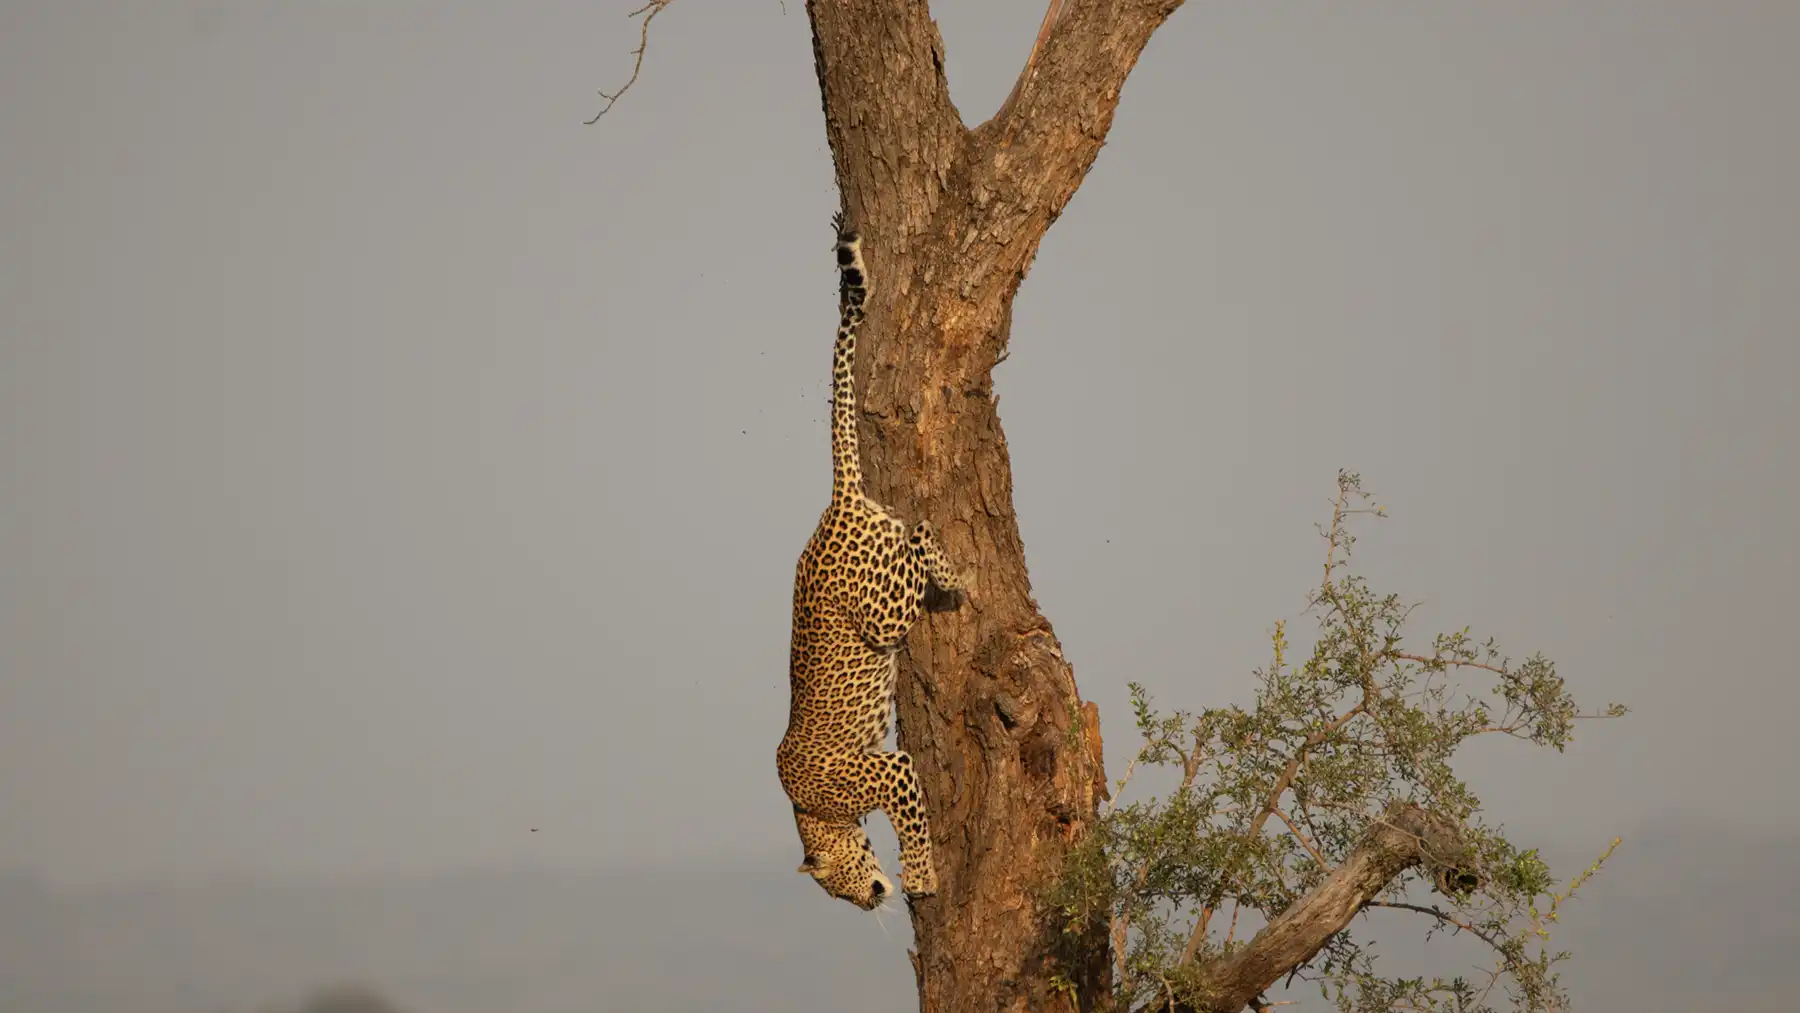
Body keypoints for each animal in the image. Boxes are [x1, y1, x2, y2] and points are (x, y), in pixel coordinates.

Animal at [775, 215, 969, 912]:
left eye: (840, 887)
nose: (872, 902)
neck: (812, 812)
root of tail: (837, 505)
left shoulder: (889, 769)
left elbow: (912, 822)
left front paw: (922, 876)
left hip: (880, 613)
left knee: (917, 539)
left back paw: (949, 565)